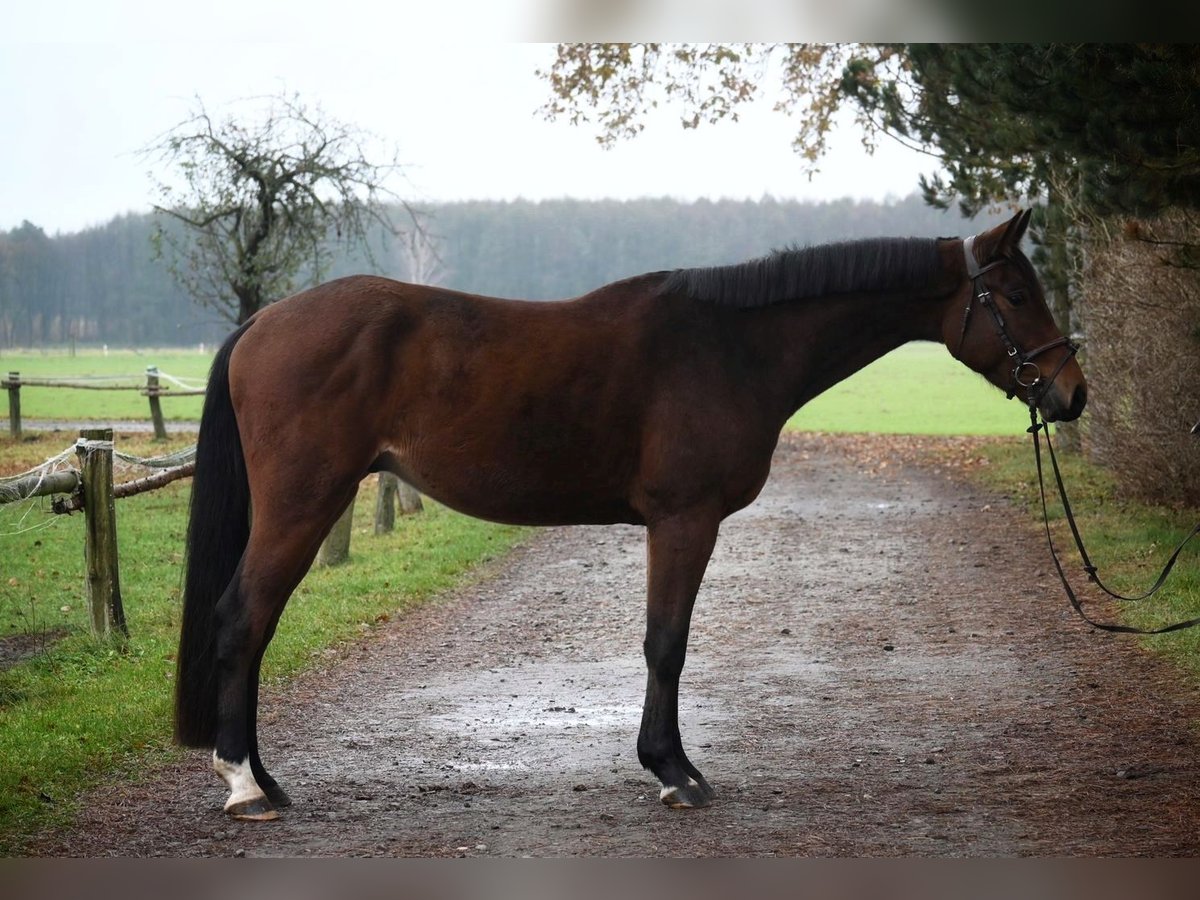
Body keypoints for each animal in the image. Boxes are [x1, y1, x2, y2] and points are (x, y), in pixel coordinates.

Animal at [175, 210, 1089, 816]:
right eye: (1014, 293)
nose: (1071, 394)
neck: (732, 346)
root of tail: (263, 321)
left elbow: (665, 643)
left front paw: (669, 765)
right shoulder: (685, 521)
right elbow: (666, 644)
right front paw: (674, 772)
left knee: (252, 627)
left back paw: (264, 777)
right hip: (303, 504)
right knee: (243, 621)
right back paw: (245, 785)